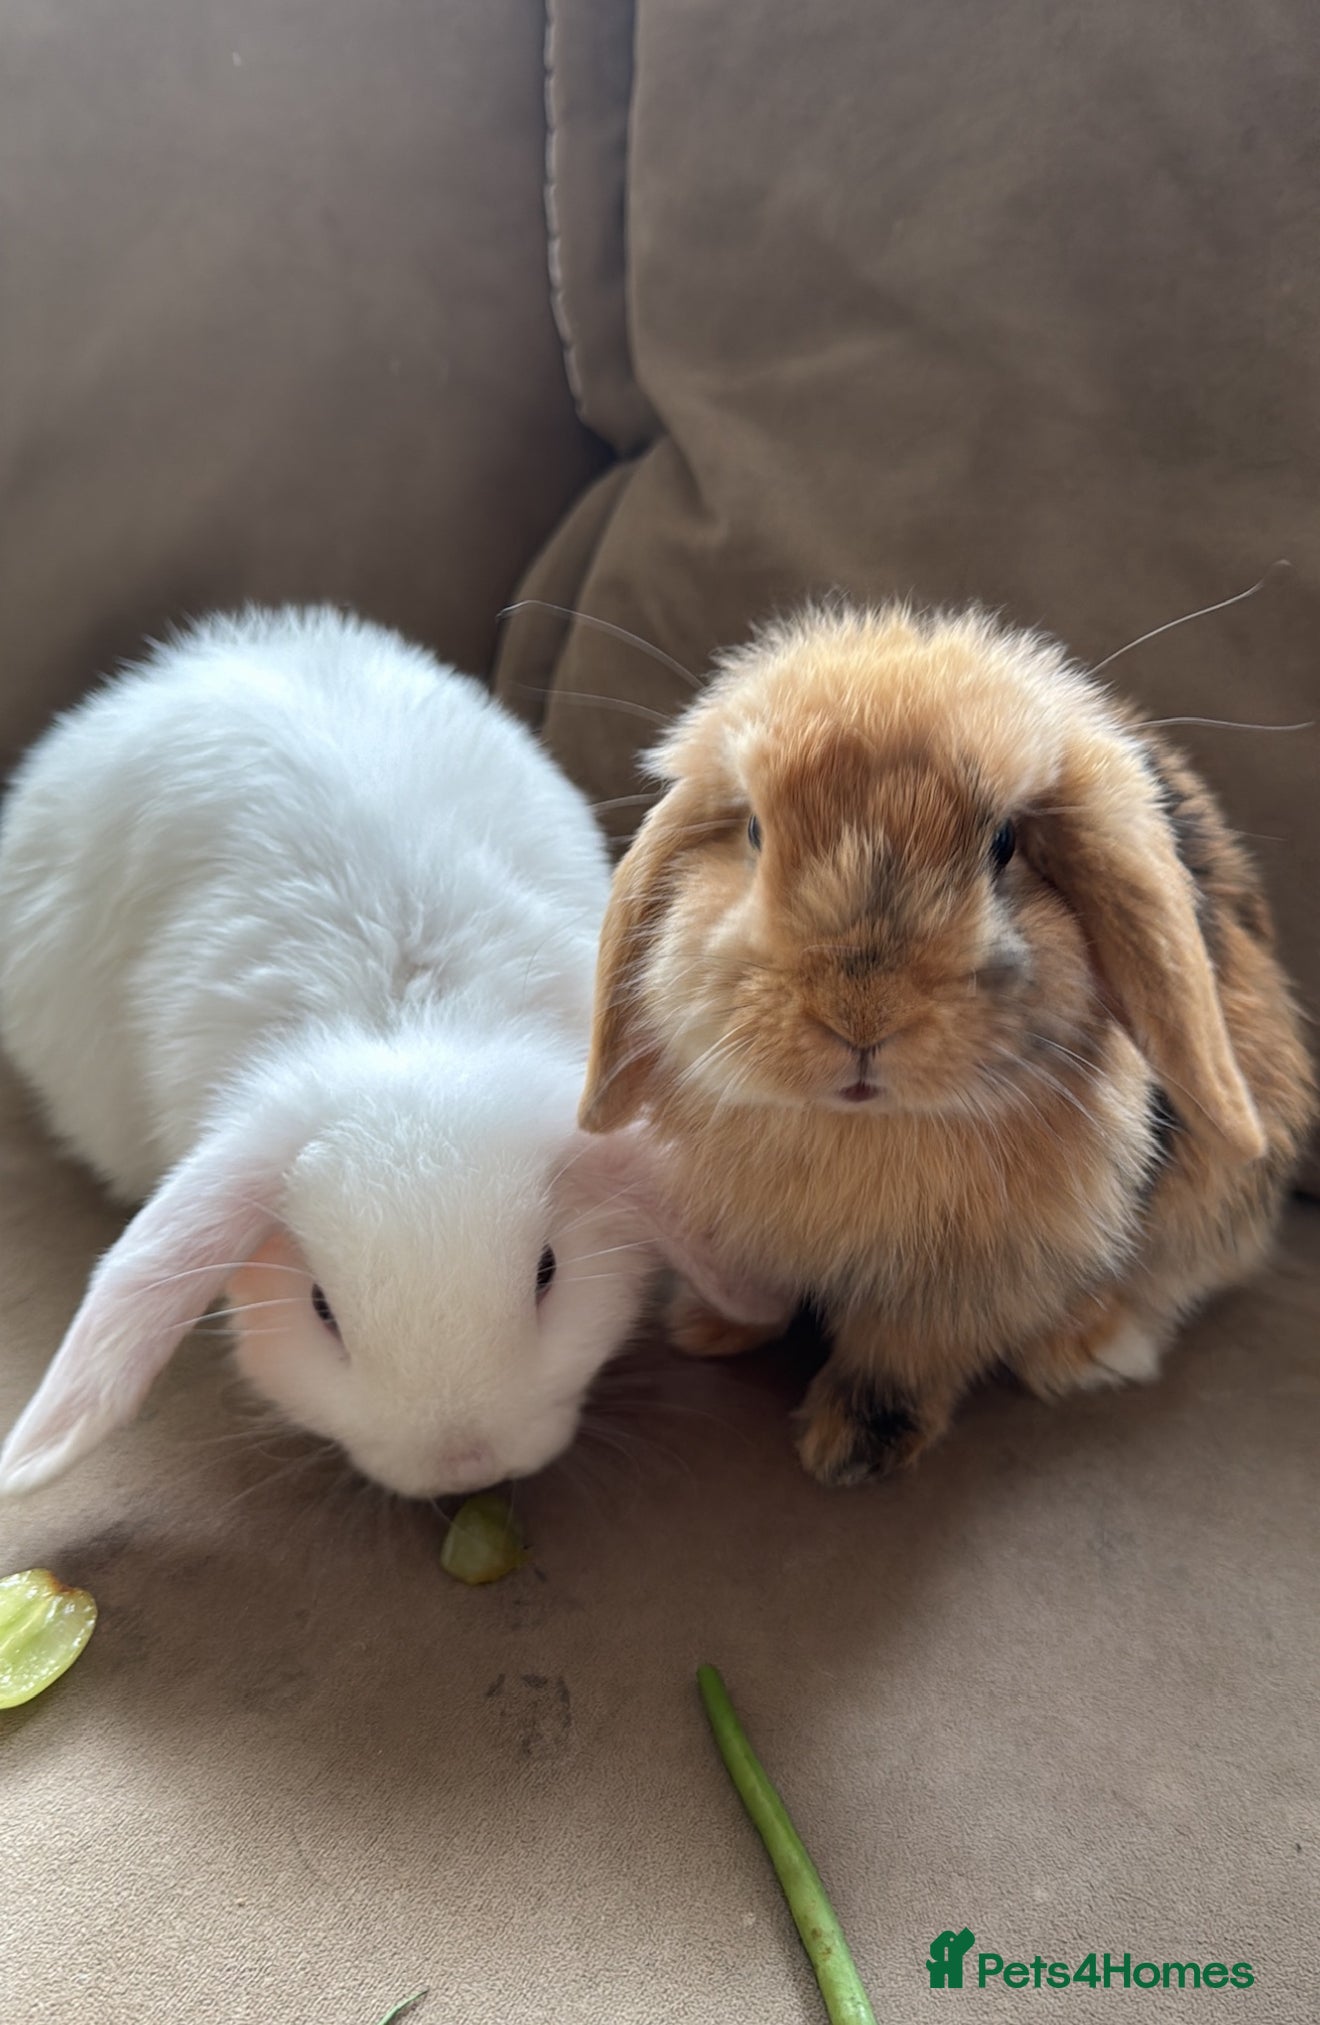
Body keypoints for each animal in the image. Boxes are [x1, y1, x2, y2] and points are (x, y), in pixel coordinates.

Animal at [578, 600, 1315, 1486]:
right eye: (753, 830)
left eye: (1004, 845)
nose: (861, 1015)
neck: (862, 1127)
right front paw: (709, 1328)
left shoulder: (962, 1287)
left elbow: (902, 1355)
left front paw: (849, 1450)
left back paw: (1088, 1352)